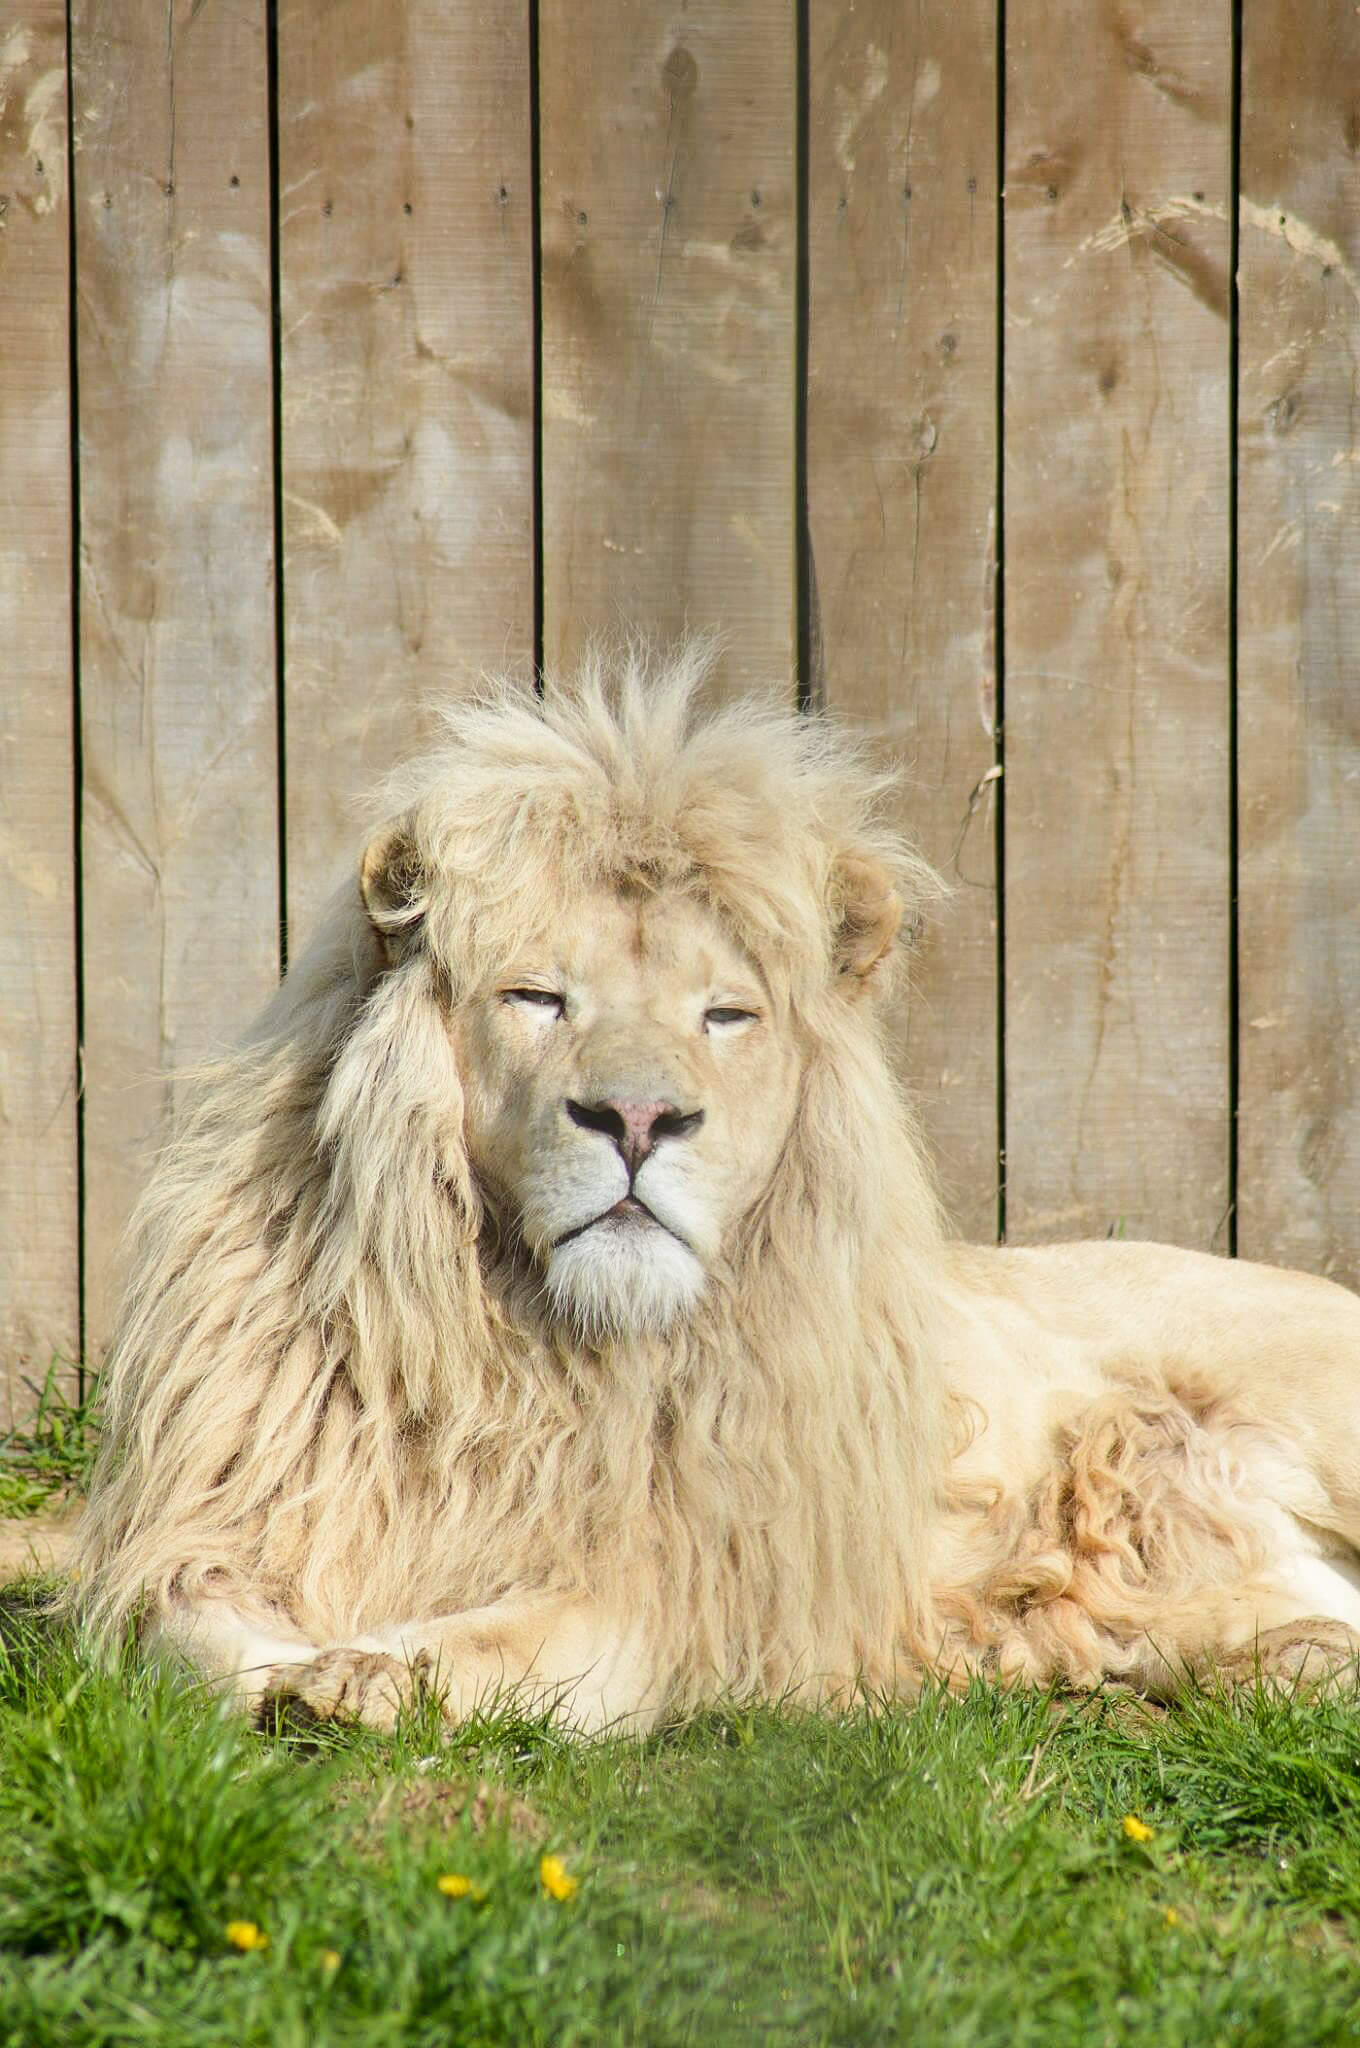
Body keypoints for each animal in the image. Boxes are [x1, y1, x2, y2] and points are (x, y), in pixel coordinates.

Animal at [76, 643, 1360, 1728]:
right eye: (537, 997)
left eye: (725, 1014)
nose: (640, 1119)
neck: (526, 1352)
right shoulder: (233, 1513)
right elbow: (182, 1628)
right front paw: (285, 1670)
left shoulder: (699, 1585)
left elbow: (517, 1638)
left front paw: (370, 1675)